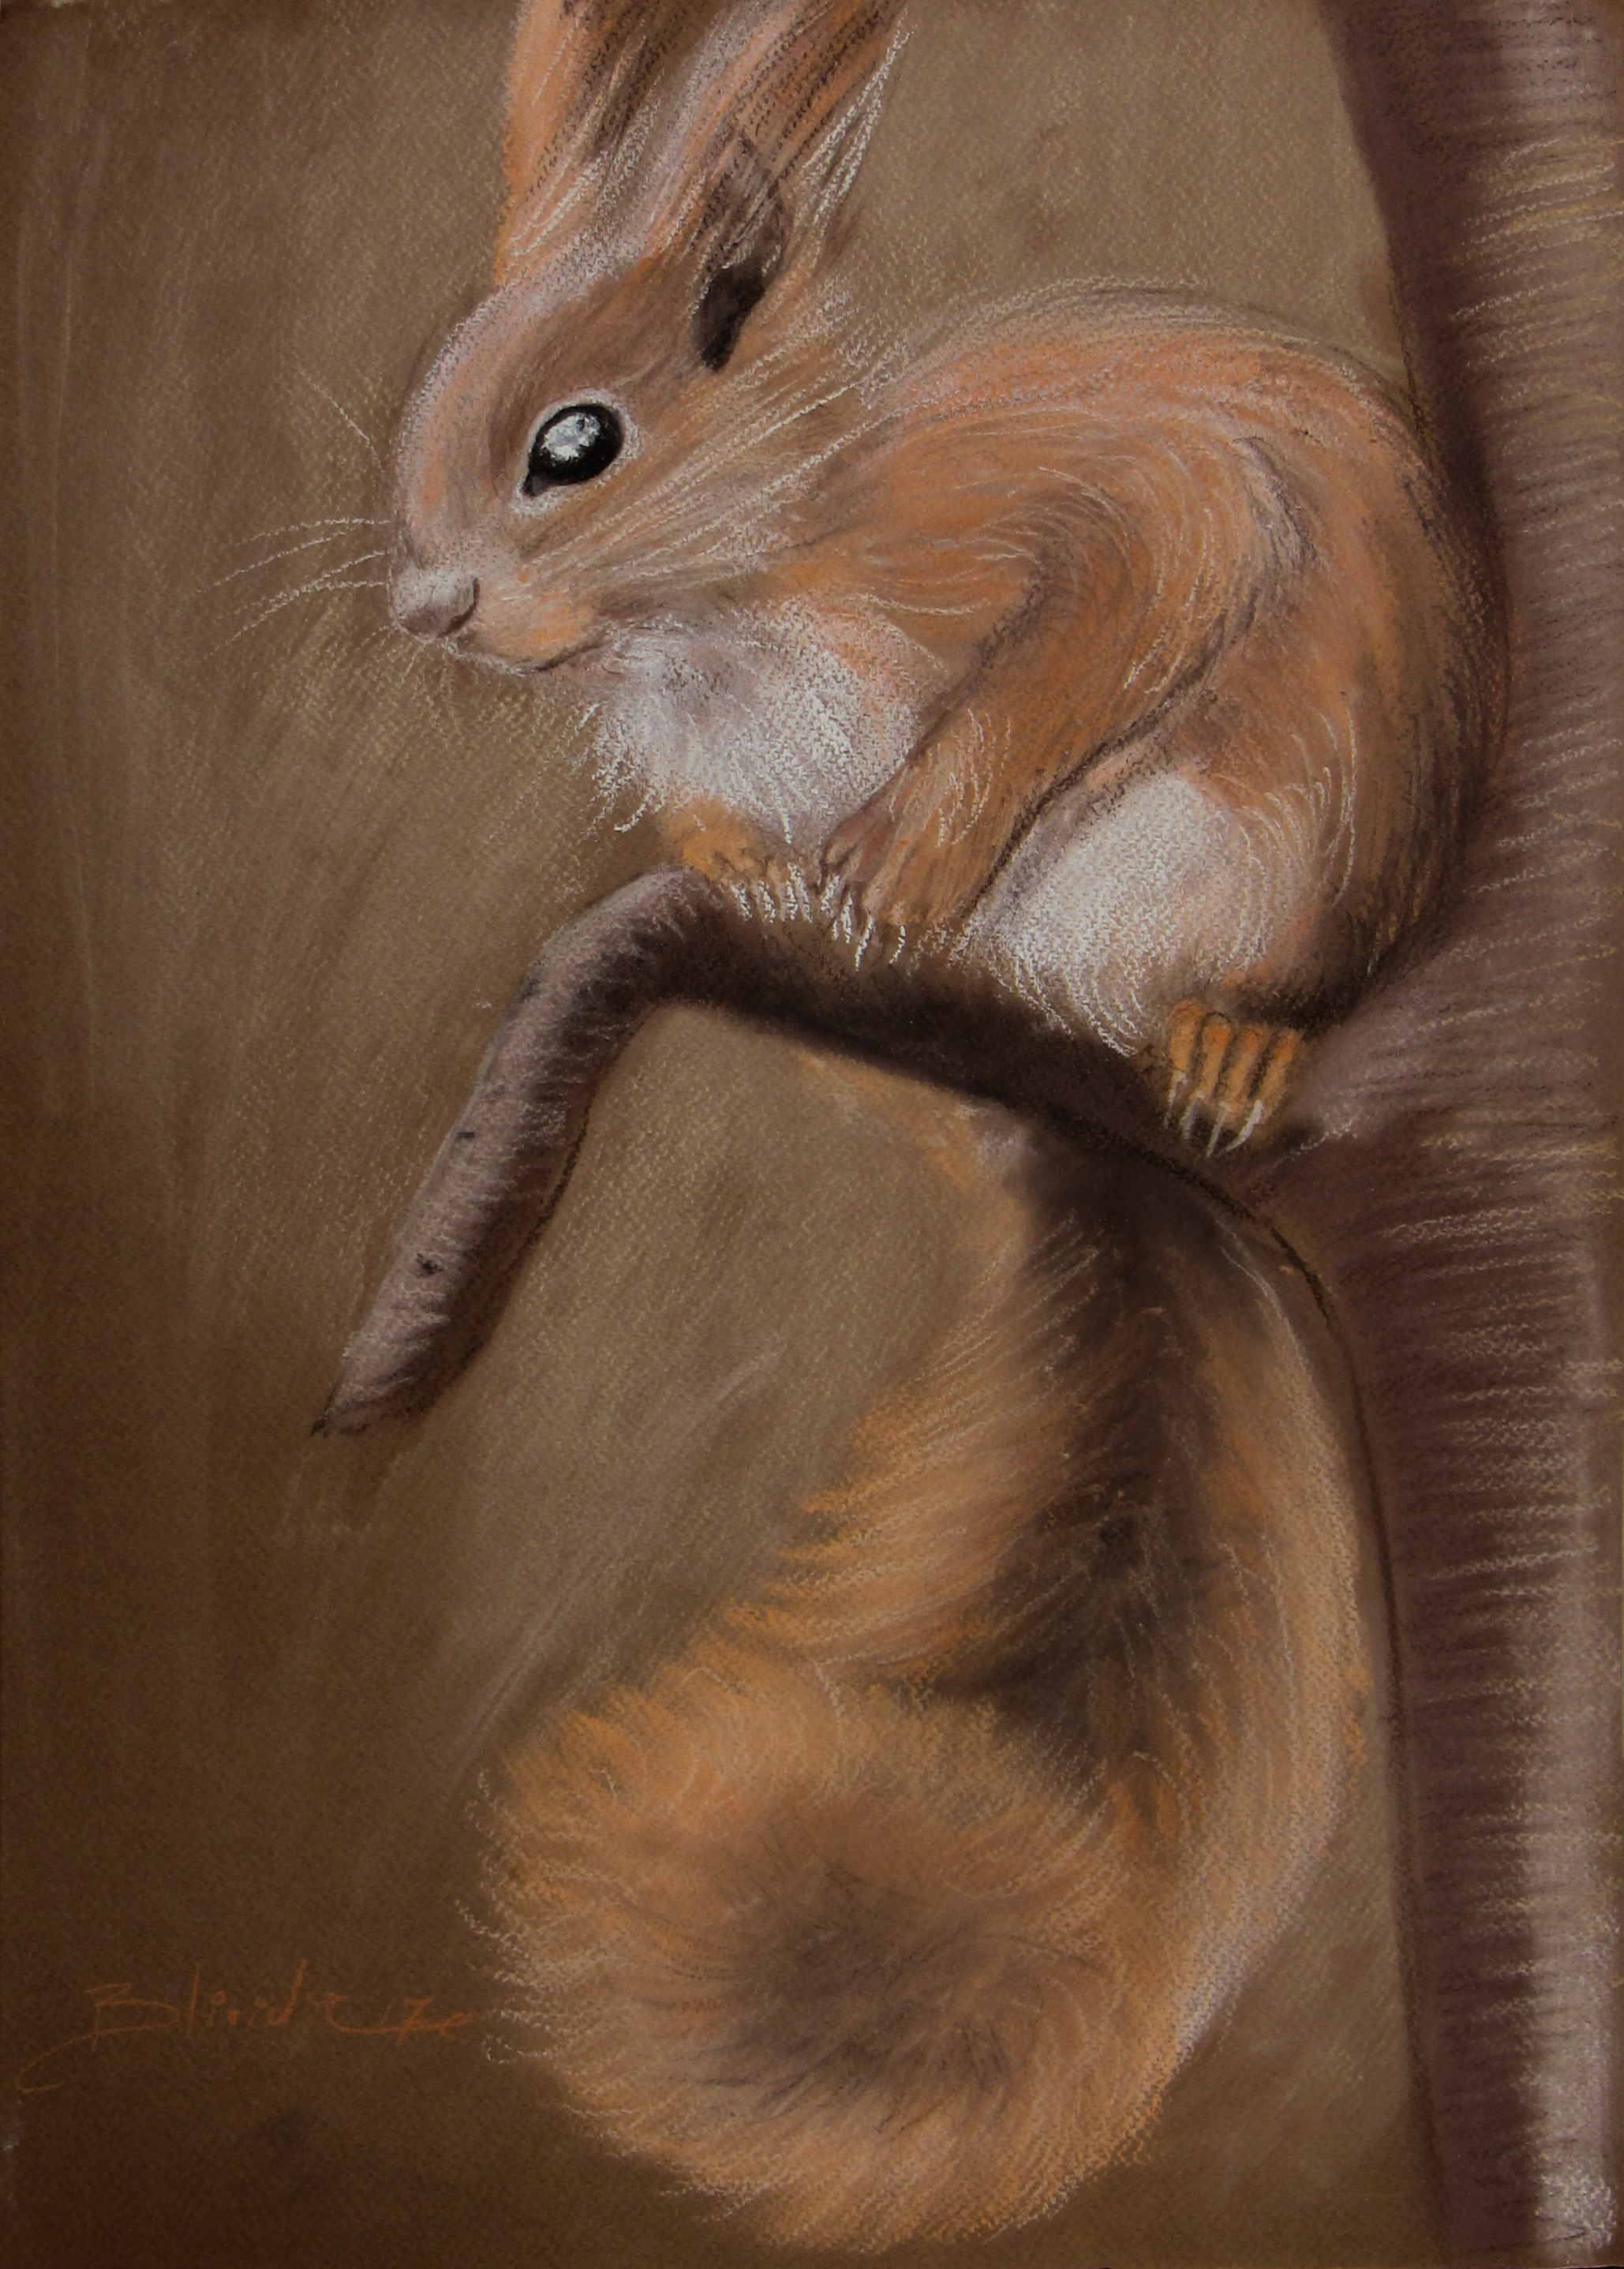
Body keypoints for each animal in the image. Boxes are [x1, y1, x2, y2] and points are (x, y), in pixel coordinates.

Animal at [322, 0, 1502, 2250]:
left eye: (577, 443)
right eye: (436, 402)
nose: (429, 608)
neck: (745, 584)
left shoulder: (1116, 521)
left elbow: (1072, 657)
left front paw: (906, 851)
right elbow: (722, 829)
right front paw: (750, 858)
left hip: (1290, 829)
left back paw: (1228, 1042)